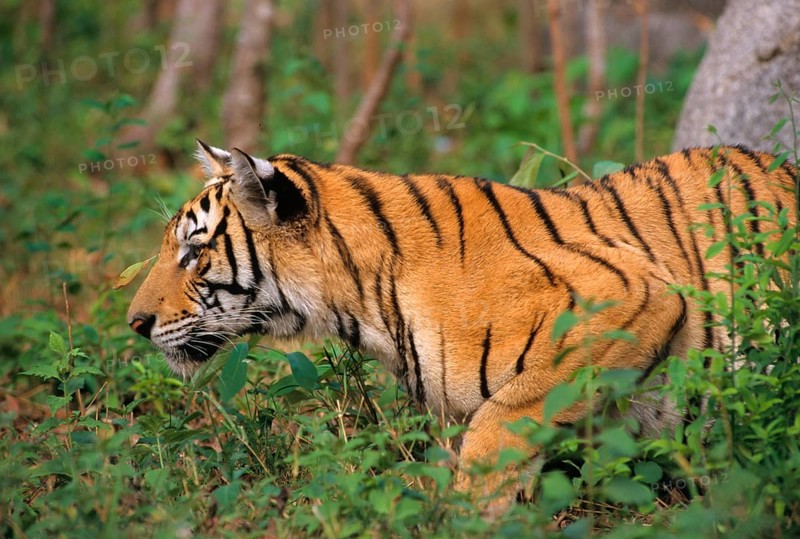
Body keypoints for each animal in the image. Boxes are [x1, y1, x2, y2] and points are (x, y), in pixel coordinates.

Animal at [127, 140, 797, 515]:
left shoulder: (633, 293)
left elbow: (501, 425)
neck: (363, 304)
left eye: (193, 251)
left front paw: (473, 514)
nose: (135, 323)